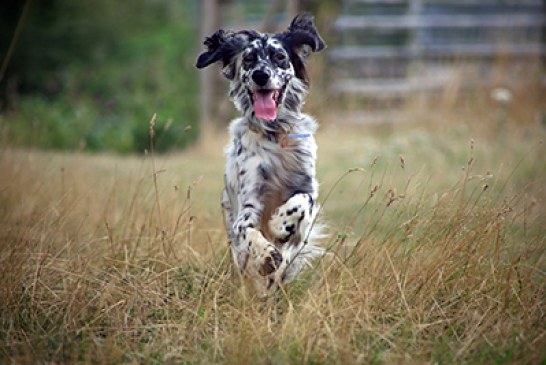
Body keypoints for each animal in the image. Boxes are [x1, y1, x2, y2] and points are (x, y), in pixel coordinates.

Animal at [194, 13, 324, 292]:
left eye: (279, 56)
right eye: (249, 59)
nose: (261, 75)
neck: (275, 134)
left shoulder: (307, 186)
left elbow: (302, 203)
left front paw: (279, 224)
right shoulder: (249, 203)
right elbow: (248, 230)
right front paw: (266, 254)